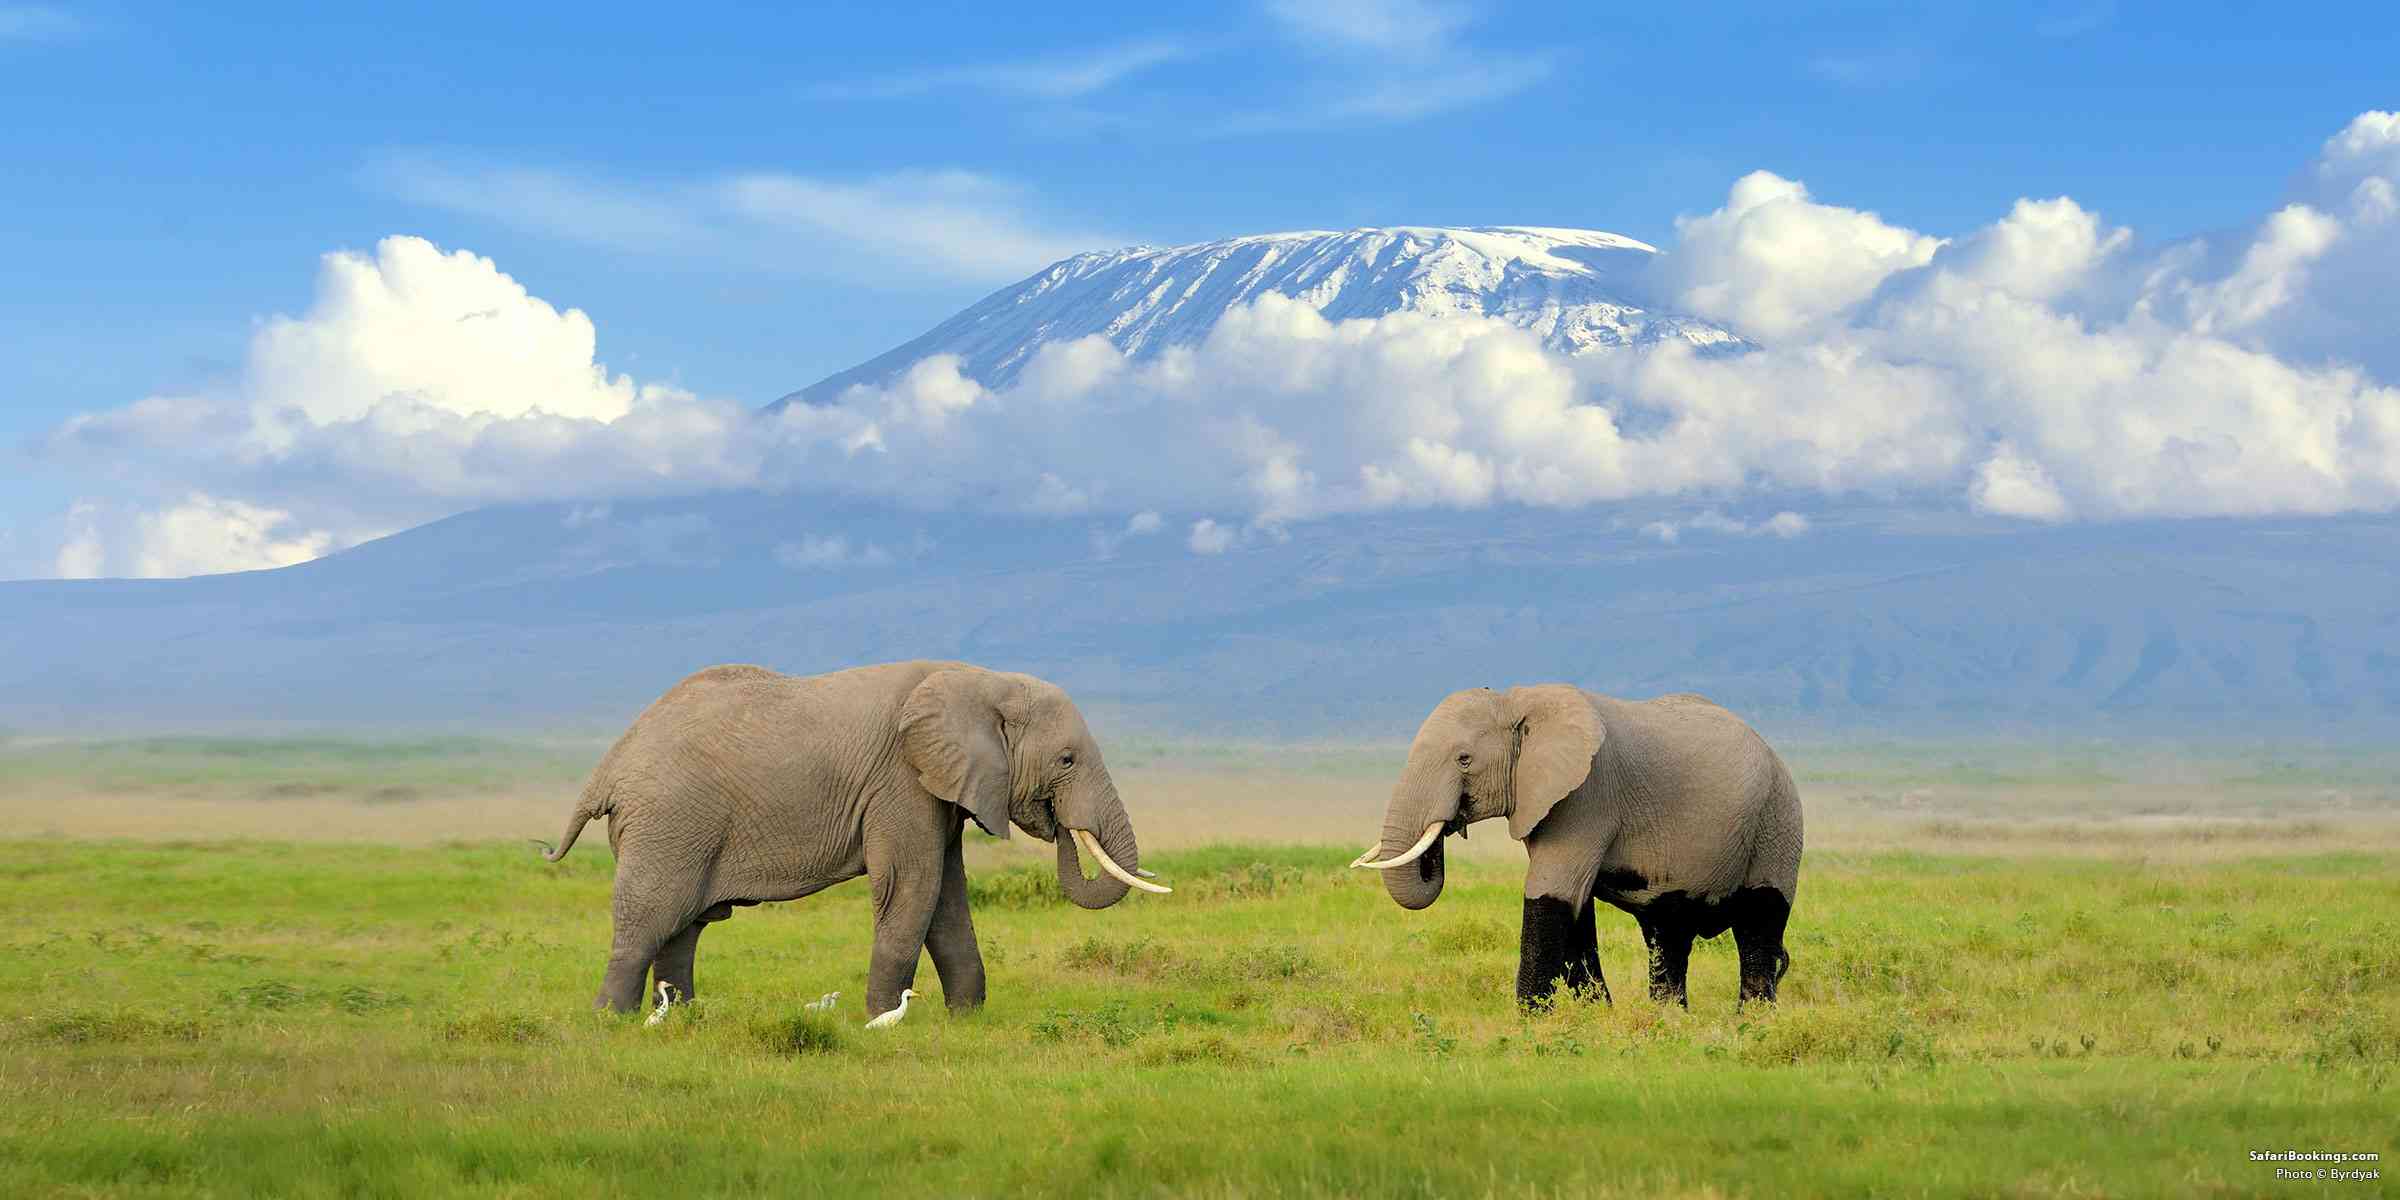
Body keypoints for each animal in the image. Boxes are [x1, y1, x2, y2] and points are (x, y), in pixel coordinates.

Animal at [538, 660, 1168, 1018]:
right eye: (1067, 760)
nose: (1058, 821)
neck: (981, 679)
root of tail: (609, 764)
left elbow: (946, 897)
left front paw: (967, 1020)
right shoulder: (900, 781)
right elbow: (912, 888)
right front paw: (883, 1020)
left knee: (684, 926)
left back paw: (687, 1017)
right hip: (668, 823)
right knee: (650, 919)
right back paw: (611, 1021)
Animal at [1352, 686, 1800, 1010]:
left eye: (1464, 760)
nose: (1449, 825)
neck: (1519, 700)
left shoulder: (1587, 796)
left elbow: (1552, 895)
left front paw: (1531, 1023)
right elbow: (1575, 909)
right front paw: (1597, 1016)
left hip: (1778, 821)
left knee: (1760, 923)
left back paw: (1753, 1021)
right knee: (1667, 935)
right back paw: (1670, 1019)